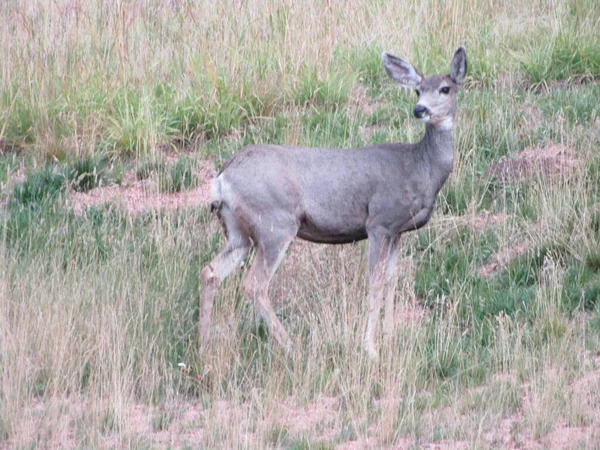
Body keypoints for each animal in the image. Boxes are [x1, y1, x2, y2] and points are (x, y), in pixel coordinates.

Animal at [199, 47, 466, 360]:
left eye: (445, 88)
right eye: (417, 90)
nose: (419, 110)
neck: (419, 167)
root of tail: (222, 178)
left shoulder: (397, 230)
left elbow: (392, 278)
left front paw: (390, 336)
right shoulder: (379, 222)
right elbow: (375, 281)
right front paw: (370, 348)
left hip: (239, 232)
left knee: (210, 272)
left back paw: (203, 347)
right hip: (275, 224)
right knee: (254, 285)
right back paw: (292, 347)